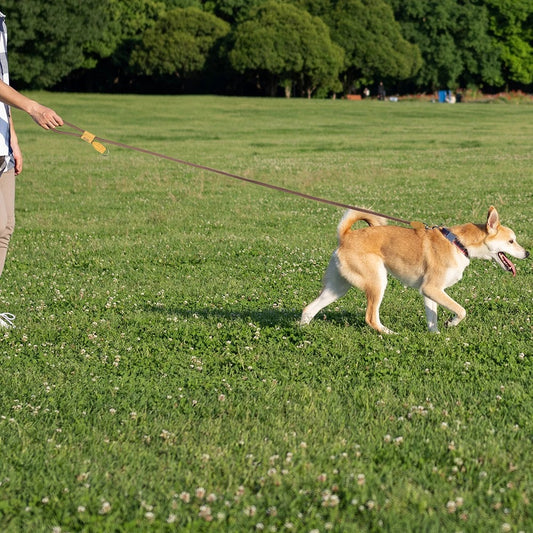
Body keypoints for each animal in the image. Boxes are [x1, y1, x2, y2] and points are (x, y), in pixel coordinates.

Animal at [300, 205, 528, 332]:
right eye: (511, 241)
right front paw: (451, 323)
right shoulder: (432, 289)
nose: (527, 253)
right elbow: (461, 311)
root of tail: (346, 236)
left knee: (309, 309)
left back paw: (302, 333)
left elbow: (432, 319)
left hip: (338, 288)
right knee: (371, 318)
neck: (459, 243)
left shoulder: (430, 291)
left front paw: (435, 336)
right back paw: (391, 334)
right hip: (377, 282)